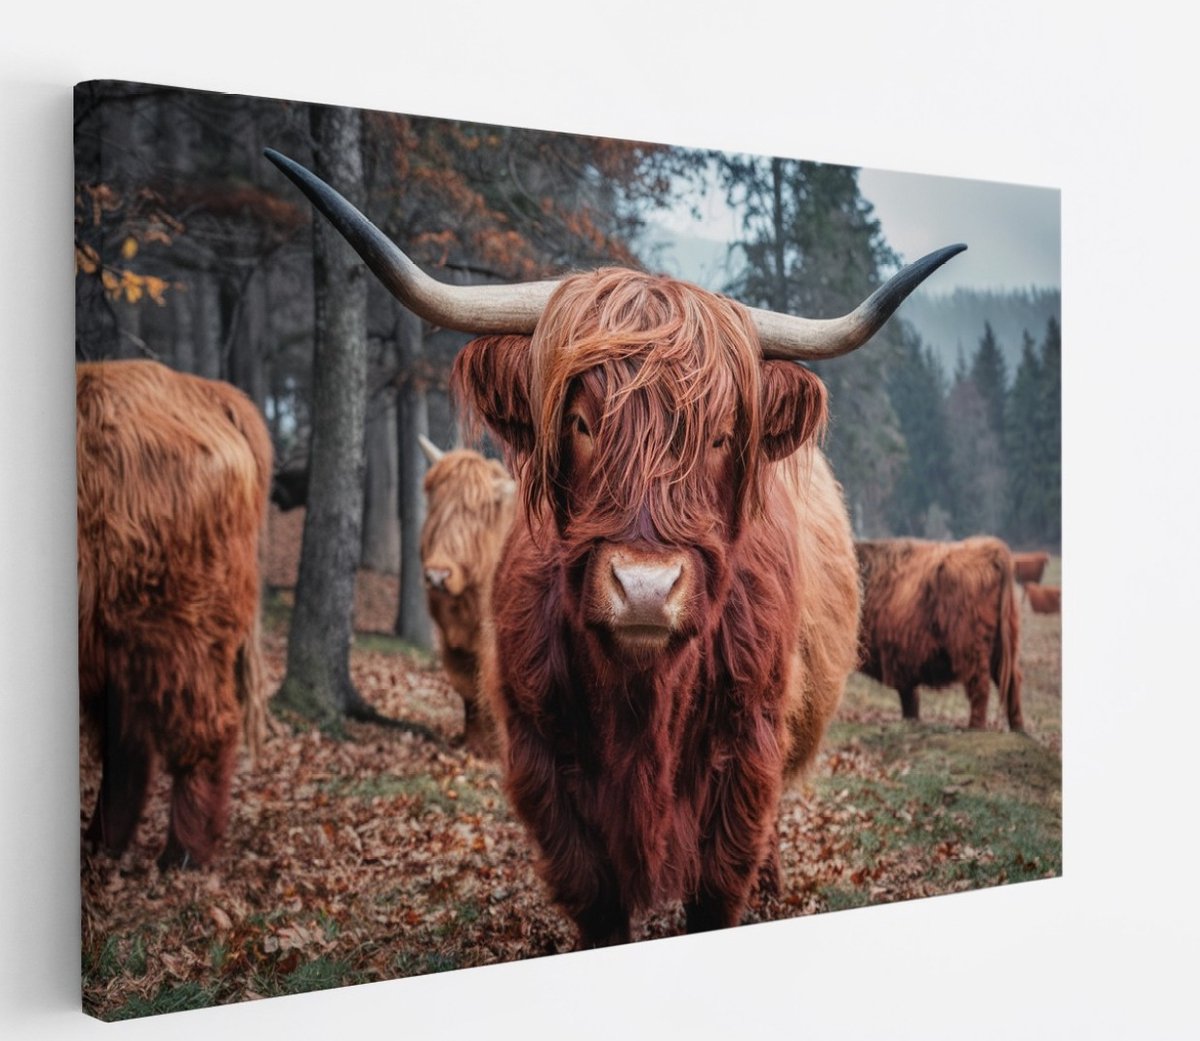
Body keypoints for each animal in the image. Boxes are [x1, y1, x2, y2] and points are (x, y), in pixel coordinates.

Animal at [77, 359, 272, 869]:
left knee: (204, 730)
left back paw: (181, 855)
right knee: (127, 745)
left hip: (172, 629)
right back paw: (101, 847)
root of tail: (208, 392)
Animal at [417, 434, 516, 756]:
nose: (437, 575)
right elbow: (468, 690)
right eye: (436, 506)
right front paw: (474, 744)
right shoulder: (451, 642)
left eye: (476, 513)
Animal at [854, 537, 1024, 731]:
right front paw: (910, 721)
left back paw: (975, 726)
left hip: (971, 649)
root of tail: (991, 549)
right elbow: (910, 700)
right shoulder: (902, 663)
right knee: (1012, 685)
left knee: (980, 686)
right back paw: (1018, 728)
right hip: (1005, 647)